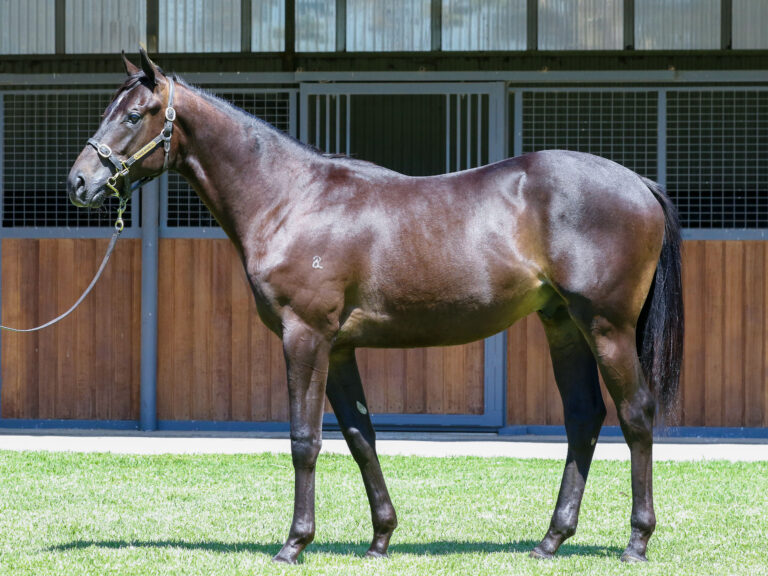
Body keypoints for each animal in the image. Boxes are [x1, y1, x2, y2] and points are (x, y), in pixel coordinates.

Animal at [67, 51, 684, 564]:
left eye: (134, 115)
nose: (79, 182)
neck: (290, 199)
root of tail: (640, 183)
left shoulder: (305, 337)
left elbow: (305, 440)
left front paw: (294, 543)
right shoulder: (339, 349)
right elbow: (361, 438)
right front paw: (381, 538)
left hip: (605, 327)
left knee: (635, 416)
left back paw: (636, 541)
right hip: (563, 326)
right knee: (583, 418)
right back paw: (551, 540)